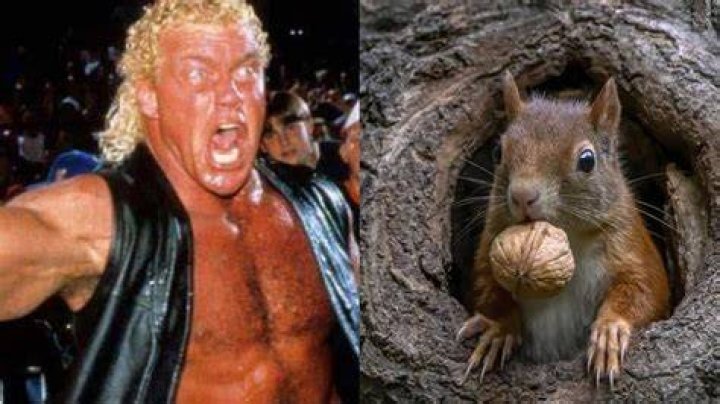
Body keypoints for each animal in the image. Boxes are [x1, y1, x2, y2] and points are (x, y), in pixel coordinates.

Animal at [456, 71, 670, 388]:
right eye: (498, 152)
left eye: (587, 160)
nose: (522, 195)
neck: (570, 236)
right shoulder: (490, 241)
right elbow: (487, 287)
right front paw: (498, 329)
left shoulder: (630, 243)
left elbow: (647, 289)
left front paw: (609, 331)